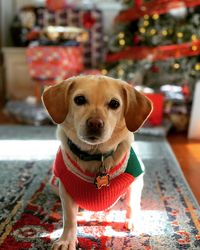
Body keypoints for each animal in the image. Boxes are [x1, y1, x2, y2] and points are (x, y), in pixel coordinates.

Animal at [41, 75, 152, 250]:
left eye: (114, 103)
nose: (95, 123)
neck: (96, 155)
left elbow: (132, 203)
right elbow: (69, 218)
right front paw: (67, 239)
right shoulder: (65, 188)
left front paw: (132, 220)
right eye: (79, 99)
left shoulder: (135, 180)